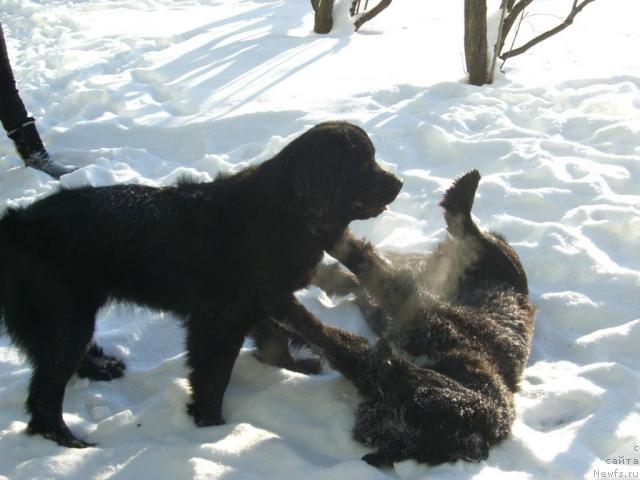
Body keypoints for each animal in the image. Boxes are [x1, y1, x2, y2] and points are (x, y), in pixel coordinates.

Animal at [0, 120, 400, 446]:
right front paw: (213, 427)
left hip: (69, 320)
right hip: (66, 319)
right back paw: (70, 442)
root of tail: (16, 225)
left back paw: (101, 370)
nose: (399, 183)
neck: (285, 212)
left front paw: (295, 369)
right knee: (44, 392)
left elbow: (275, 340)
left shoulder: (261, 301)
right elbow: (214, 375)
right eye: (364, 163)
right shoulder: (220, 320)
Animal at [264, 169, 536, 464]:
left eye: (407, 407)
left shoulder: (380, 349)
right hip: (490, 260)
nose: (386, 365)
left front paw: (280, 306)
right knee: (466, 230)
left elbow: (321, 332)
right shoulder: (423, 317)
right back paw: (465, 191)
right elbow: (364, 267)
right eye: (425, 394)